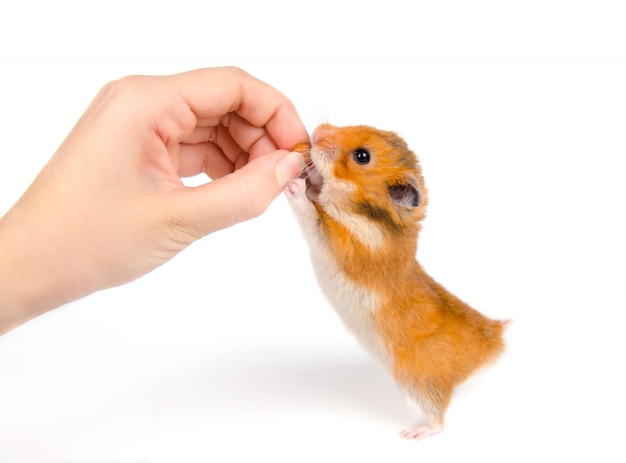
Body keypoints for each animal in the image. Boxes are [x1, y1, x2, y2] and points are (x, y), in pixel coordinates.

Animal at [282, 123, 508, 442]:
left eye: (362, 156)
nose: (317, 131)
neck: (363, 213)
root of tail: (496, 341)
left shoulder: (343, 244)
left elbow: (313, 214)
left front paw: (294, 184)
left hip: (420, 383)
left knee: (439, 421)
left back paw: (412, 433)